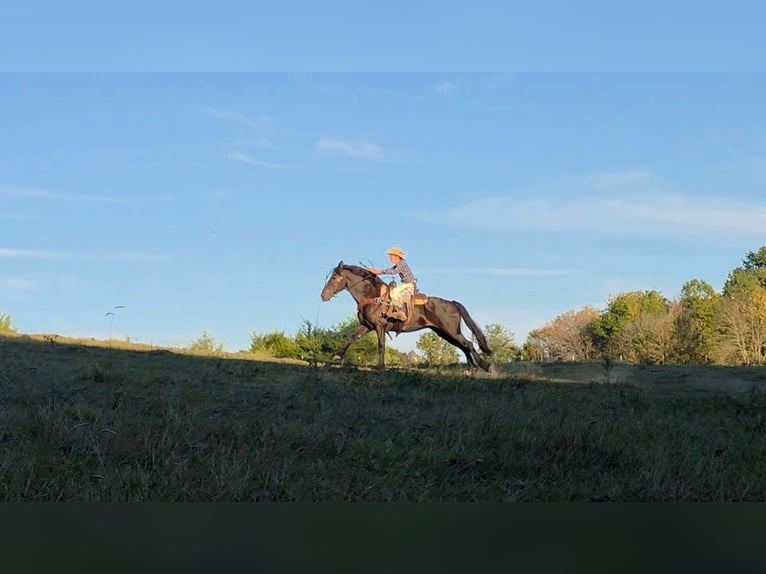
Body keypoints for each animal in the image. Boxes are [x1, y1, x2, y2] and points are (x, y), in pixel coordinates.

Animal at [320, 261, 493, 372]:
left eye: (334, 277)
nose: (323, 296)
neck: (373, 296)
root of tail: (452, 303)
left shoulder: (380, 326)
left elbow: (381, 346)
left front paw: (380, 366)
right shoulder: (366, 326)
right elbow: (351, 338)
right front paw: (336, 356)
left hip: (450, 331)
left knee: (468, 344)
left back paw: (485, 366)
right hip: (444, 332)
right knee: (464, 346)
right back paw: (470, 369)